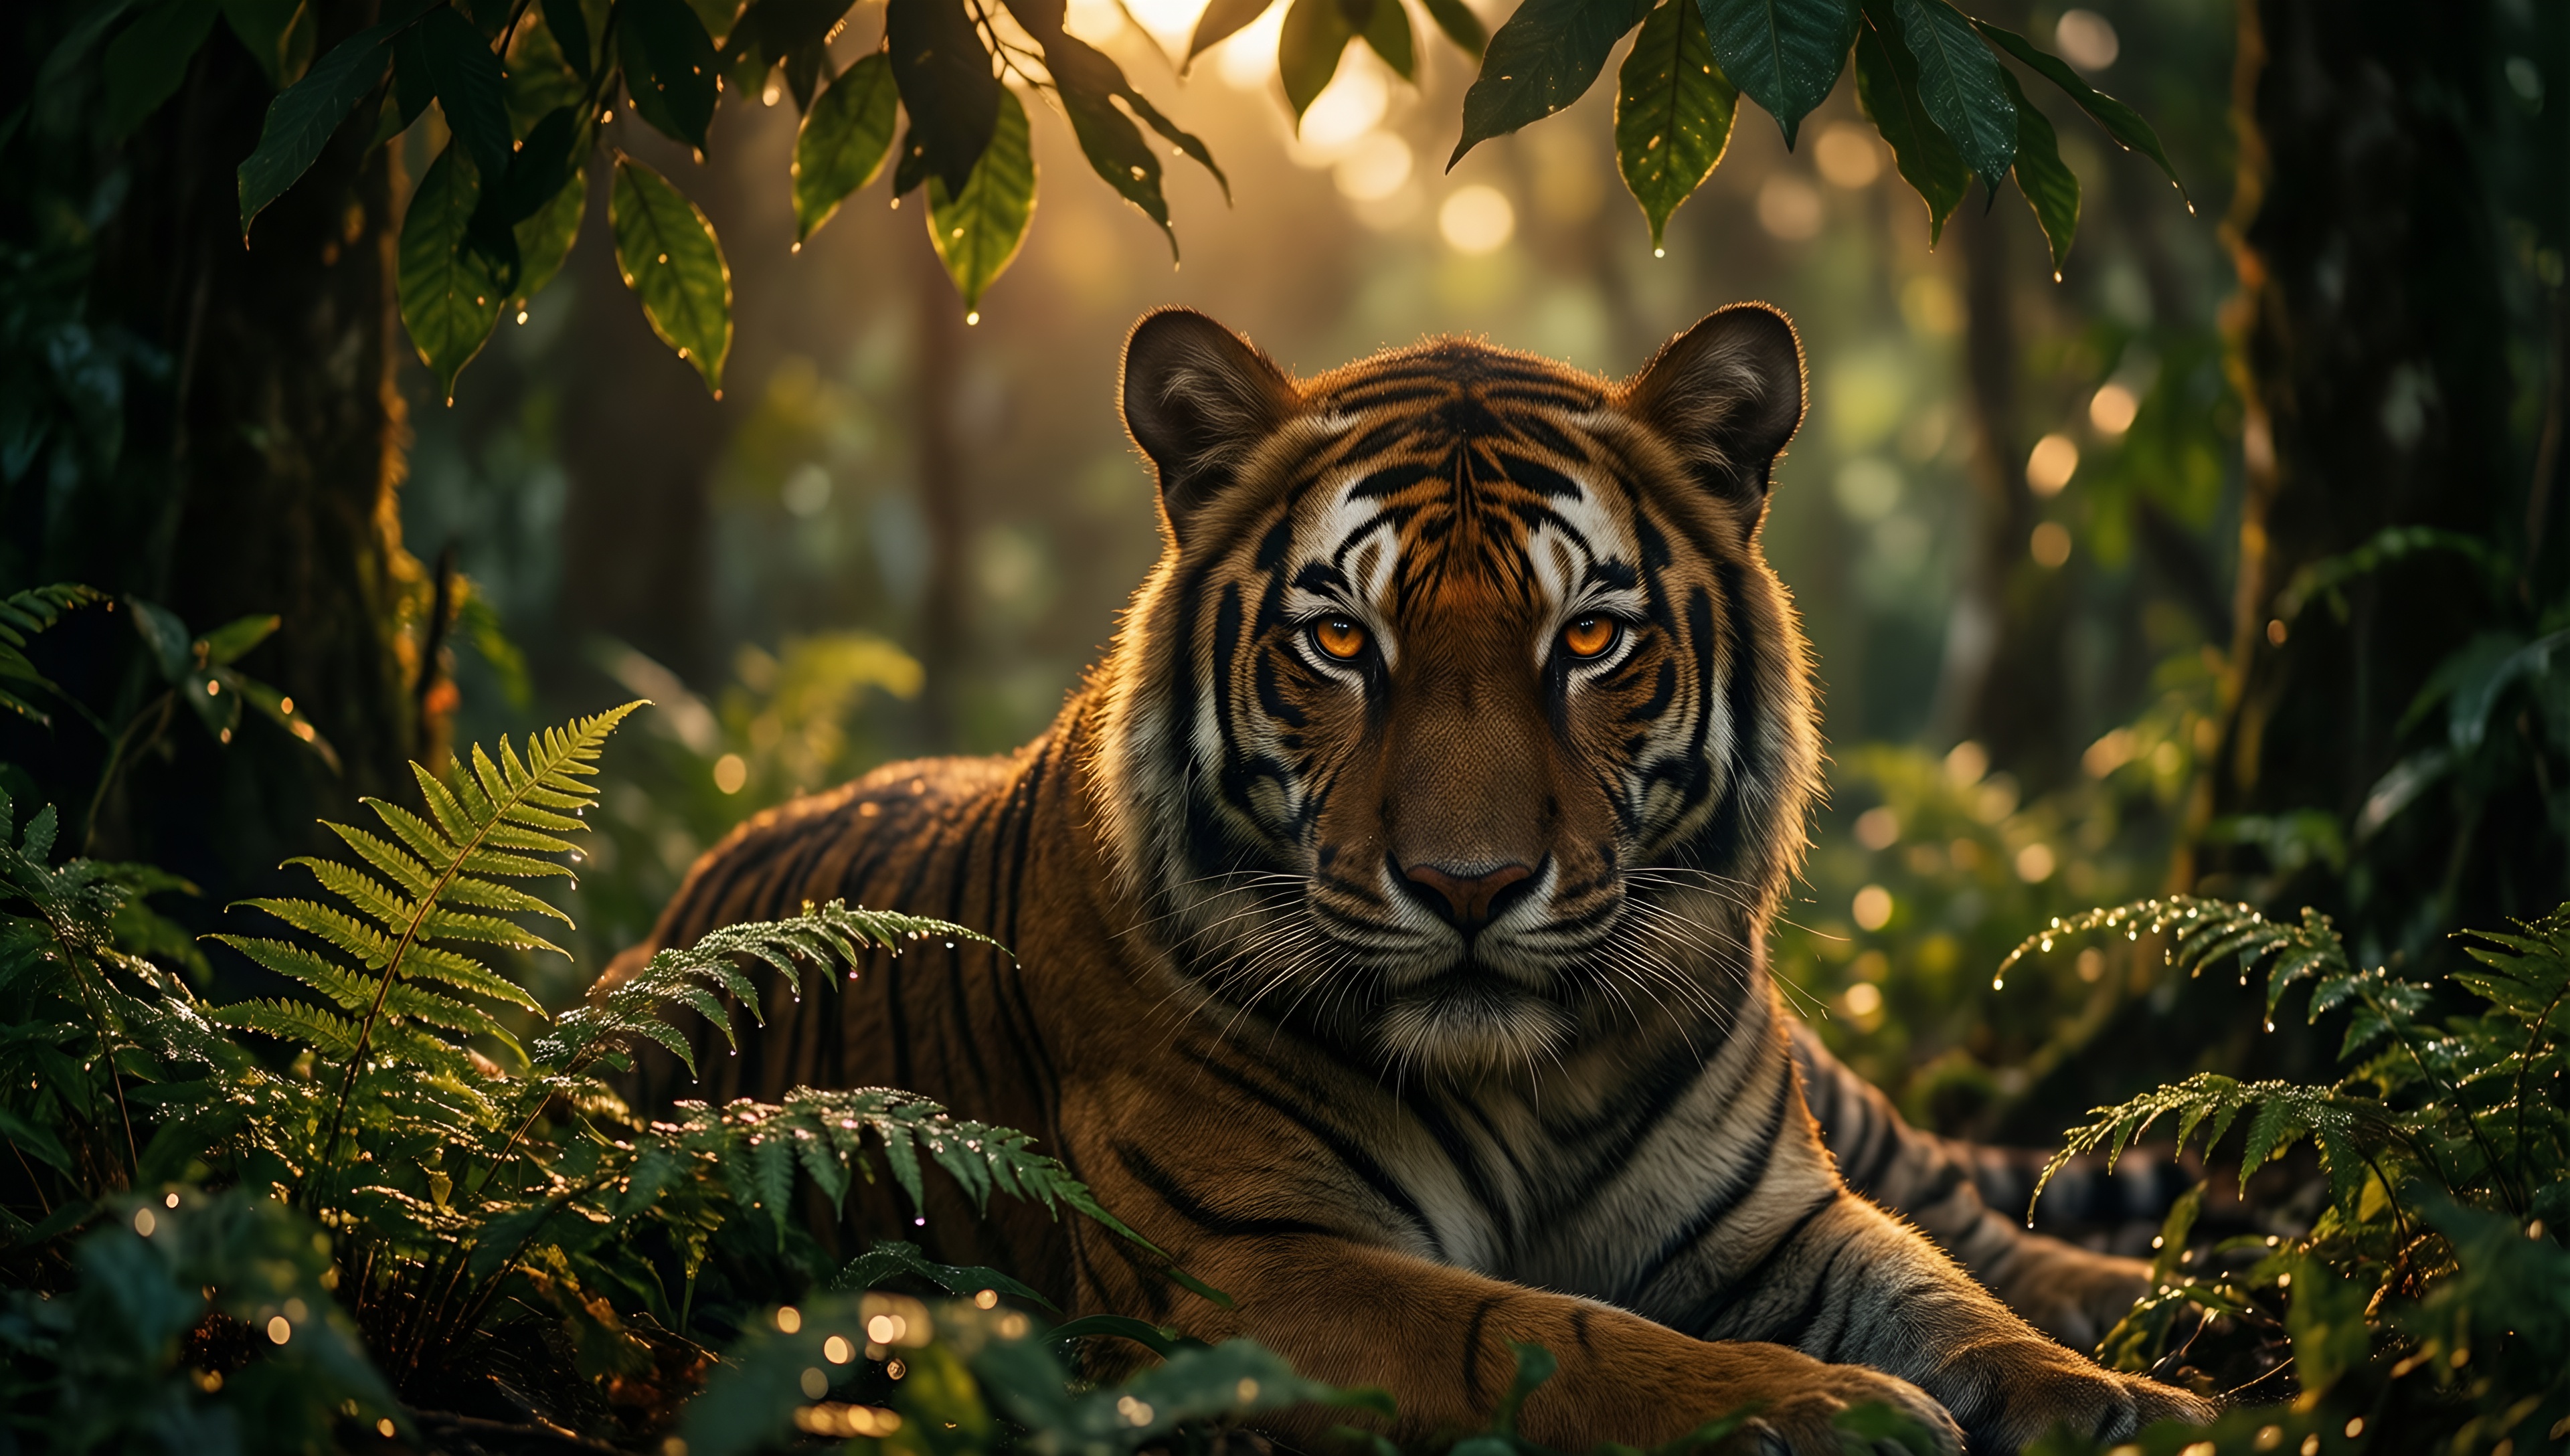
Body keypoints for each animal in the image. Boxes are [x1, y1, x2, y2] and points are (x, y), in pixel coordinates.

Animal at [606, 305, 2214, 1452]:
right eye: (1339, 643)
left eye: (1588, 639)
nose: (1470, 883)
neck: (1531, 1082)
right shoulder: (1251, 1262)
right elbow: (1545, 1332)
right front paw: (1822, 1409)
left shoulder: (1778, 1217)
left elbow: (1944, 1294)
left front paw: (2114, 1401)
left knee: (1985, 1215)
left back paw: (2156, 1304)